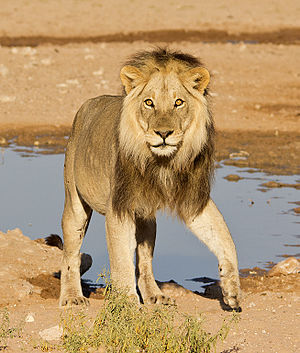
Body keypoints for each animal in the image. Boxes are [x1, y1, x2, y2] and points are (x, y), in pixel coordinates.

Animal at [59, 48, 241, 308]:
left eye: (178, 102)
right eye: (149, 102)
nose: (163, 133)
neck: (163, 163)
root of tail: (87, 104)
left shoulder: (194, 200)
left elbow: (223, 236)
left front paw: (231, 288)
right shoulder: (119, 207)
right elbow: (121, 261)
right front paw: (127, 305)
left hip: (146, 219)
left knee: (145, 262)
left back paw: (155, 295)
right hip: (75, 203)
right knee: (70, 254)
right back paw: (72, 296)